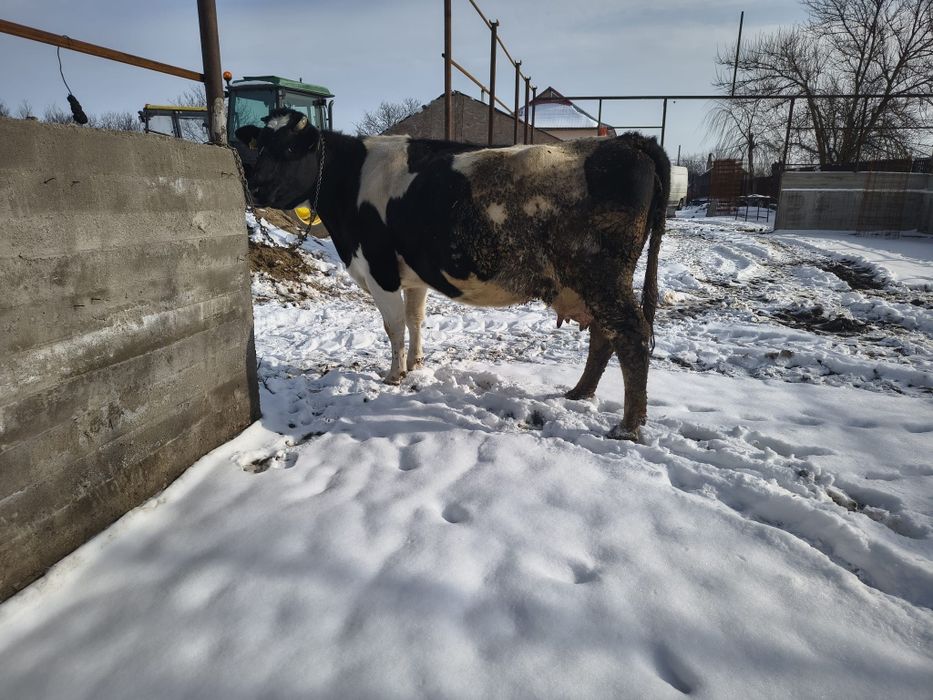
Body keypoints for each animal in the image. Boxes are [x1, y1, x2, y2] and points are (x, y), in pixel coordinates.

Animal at [237, 109, 670, 441]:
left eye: (290, 149)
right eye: (261, 146)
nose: (253, 188)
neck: (351, 181)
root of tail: (628, 141)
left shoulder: (379, 269)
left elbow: (393, 326)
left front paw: (393, 375)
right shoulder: (412, 277)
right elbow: (415, 320)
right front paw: (417, 364)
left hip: (601, 276)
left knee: (630, 336)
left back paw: (628, 427)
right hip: (593, 282)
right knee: (605, 335)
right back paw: (579, 393)